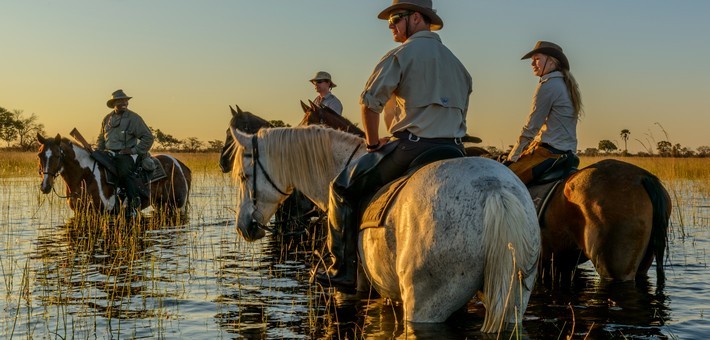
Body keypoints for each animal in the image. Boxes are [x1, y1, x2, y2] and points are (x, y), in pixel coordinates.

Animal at [36, 132, 192, 214]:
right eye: (39, 155)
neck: (85, 176)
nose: (45, 186)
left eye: (57, 156)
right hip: (161, 205)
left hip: (177, 206)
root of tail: (182, 166)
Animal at [231, 124, 544, 332]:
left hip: (427, 303)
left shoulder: (356, 286)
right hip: (513, 299)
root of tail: (494, 191)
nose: (244, 226)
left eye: (244, 176)